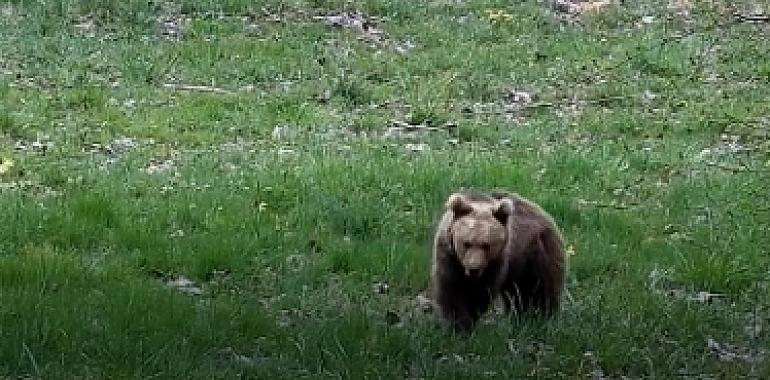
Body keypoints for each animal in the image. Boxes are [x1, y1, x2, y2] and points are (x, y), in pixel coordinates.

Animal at [432, 190, 564, 330]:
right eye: (466, 243)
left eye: (486, 245)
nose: (474, 268)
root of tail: (544, 213)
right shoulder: (449, 258)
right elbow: (452, 291)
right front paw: (458, 324)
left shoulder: (496, 263)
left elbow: (479, 294)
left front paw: (467, 320)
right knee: (518, 295)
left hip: (539, 253)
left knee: (543, 291)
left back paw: (543, 319)